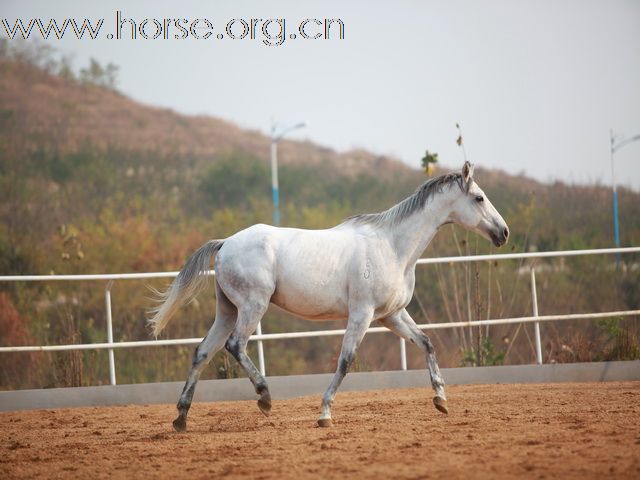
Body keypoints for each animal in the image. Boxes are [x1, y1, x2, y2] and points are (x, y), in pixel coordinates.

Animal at [148, 162, 508, 432]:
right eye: (479, 198)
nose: (503, 233)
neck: (393, 247)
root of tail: (225, 244)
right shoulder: (362, 314)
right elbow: (345, 361)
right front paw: (324, 414)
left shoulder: (391, 315)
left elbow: (426, 343)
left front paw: (441, 400)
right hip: (252, 306)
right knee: (235, 345)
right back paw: (264, 398)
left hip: (227, 310)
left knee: (202, 352)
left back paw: (181, 418)